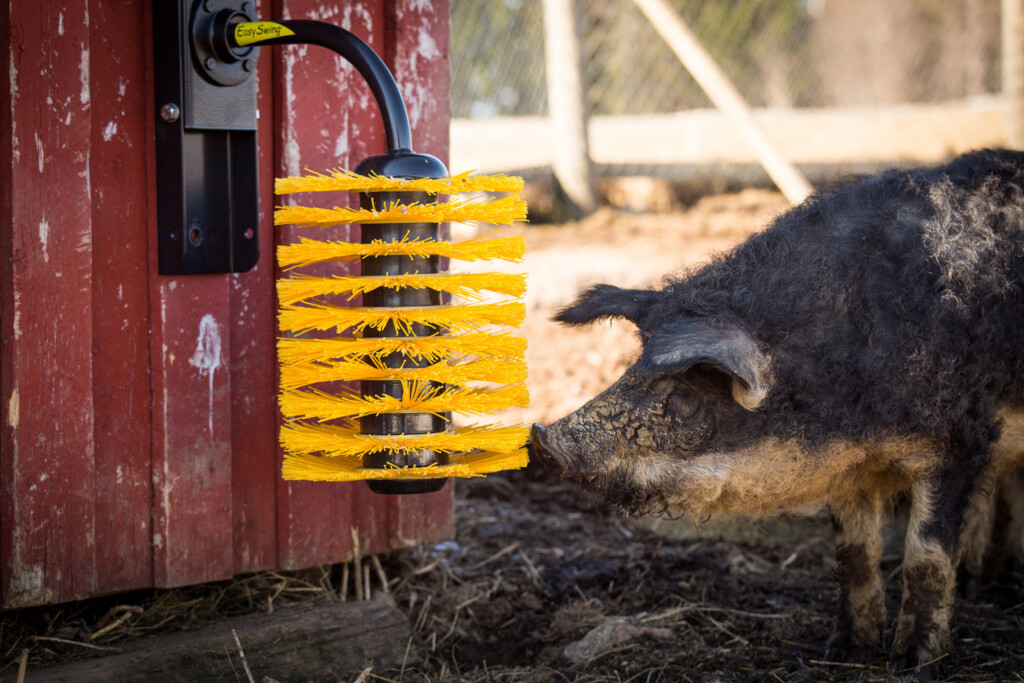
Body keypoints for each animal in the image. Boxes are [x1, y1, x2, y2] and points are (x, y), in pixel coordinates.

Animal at [530, 149, 1024, 678]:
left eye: (685, 396)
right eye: (631, 369)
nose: (542, 438)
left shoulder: (962, 443)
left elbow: (926, 558)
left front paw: (911, 665)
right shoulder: (849, 467)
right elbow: (853, 555)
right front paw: (843, 652)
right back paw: (984, 585)